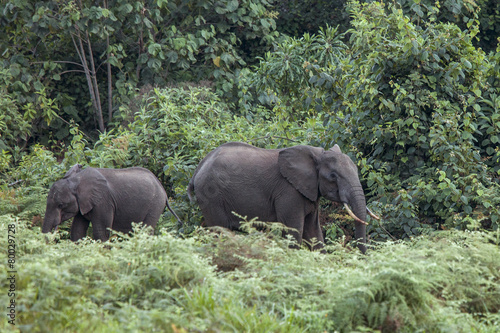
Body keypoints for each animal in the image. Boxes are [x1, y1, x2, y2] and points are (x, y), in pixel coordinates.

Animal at [42, 164, 181, 240]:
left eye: (61, 205)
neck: (76, 180)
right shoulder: (84, 204)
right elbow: (77, 231)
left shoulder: (103, 201)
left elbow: (101, 232)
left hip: (155, 204)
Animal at [188, 140, 378, 252]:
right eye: (333, 176)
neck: (316, 155)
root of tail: (199, 168)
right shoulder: (288, 191)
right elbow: (294, 231)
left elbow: (314, 232)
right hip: (211, 197)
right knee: (219, 231)